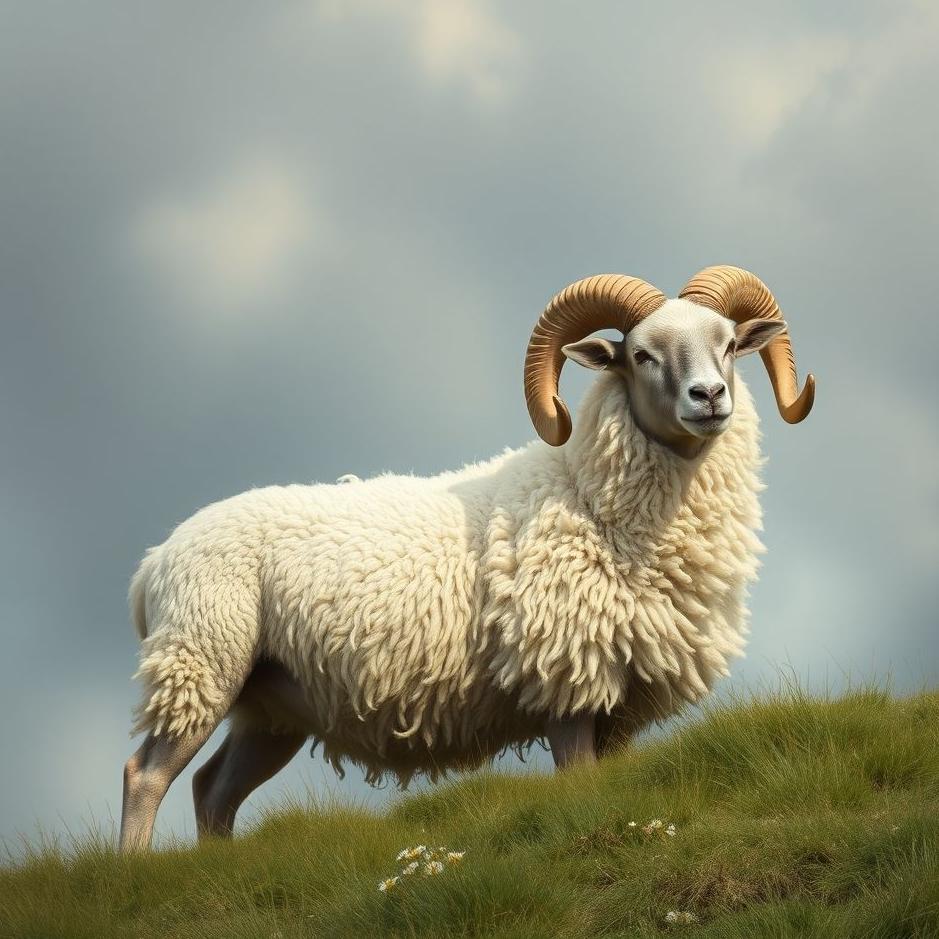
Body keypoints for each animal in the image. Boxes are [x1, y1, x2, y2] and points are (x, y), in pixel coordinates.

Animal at [119, 265, 815, 851]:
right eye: (641, 355)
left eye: (727, 342)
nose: (709, 396)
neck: (587, 494)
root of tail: (152, 562)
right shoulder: (566, 680)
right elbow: (578, 780)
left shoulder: (618, 700)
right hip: (202, 659)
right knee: (145, 774)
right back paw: (134, 875)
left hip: (271, 706)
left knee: (213, 791)